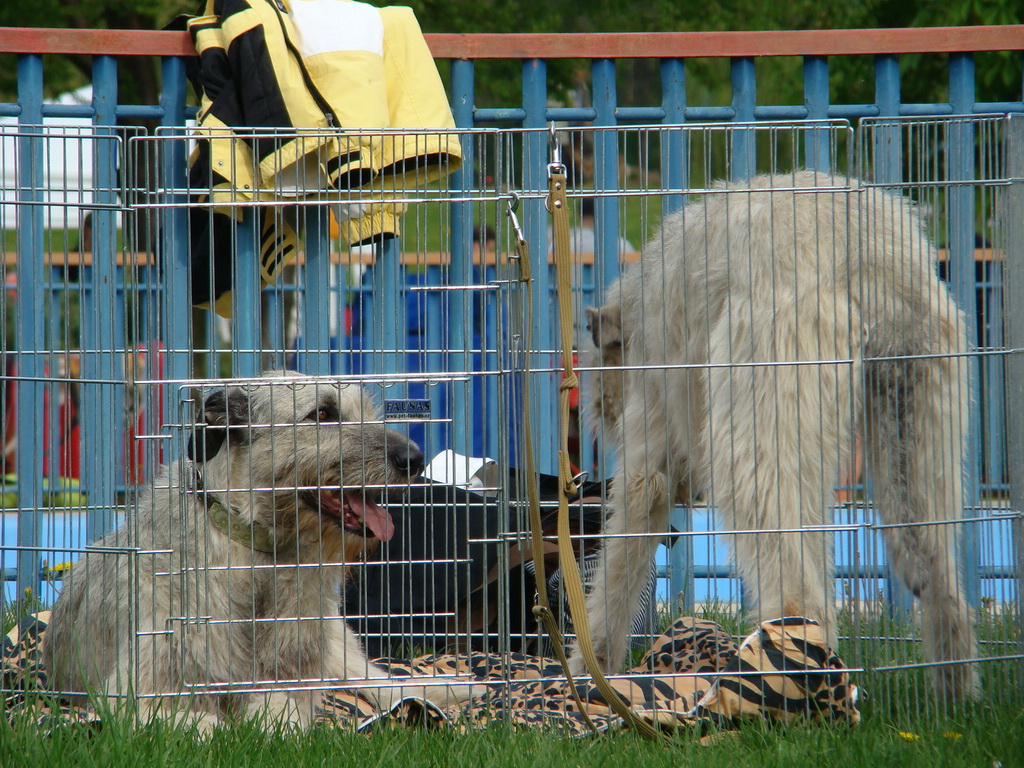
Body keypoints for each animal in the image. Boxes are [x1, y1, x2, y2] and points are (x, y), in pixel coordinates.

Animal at [44, 372, 466, 733]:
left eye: (368, 411)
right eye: (323, 414)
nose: (414, 459)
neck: (257, 553)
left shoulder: (288, 676)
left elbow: (282, 711)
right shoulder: (134, 693)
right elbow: (210, 725)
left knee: (384, 683)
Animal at [573, 169, 978, 704]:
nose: (603, 417)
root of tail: (870, 258)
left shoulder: (651, 427)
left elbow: (626, 543)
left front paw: (590, 669)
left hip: (765, 406)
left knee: (793, 581)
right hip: (919, 415)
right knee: (935, 568)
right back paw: (953, 690)